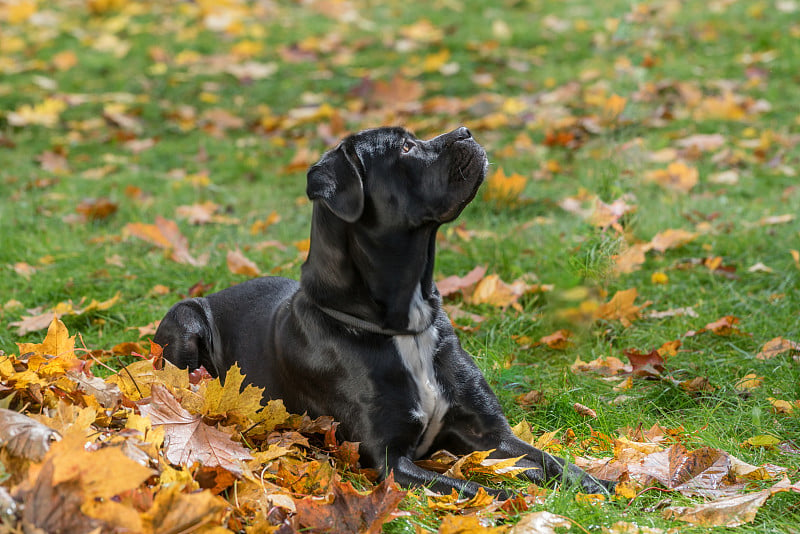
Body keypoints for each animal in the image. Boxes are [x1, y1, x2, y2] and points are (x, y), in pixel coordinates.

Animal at [153, 126, 608, 498]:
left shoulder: (489, 431)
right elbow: (473, 488)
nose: (465, 131)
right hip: (185, 320)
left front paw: (596, 486)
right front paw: (517, 497)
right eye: (405, 147)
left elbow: (551, 460)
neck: (408, 326)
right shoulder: (389, 460)